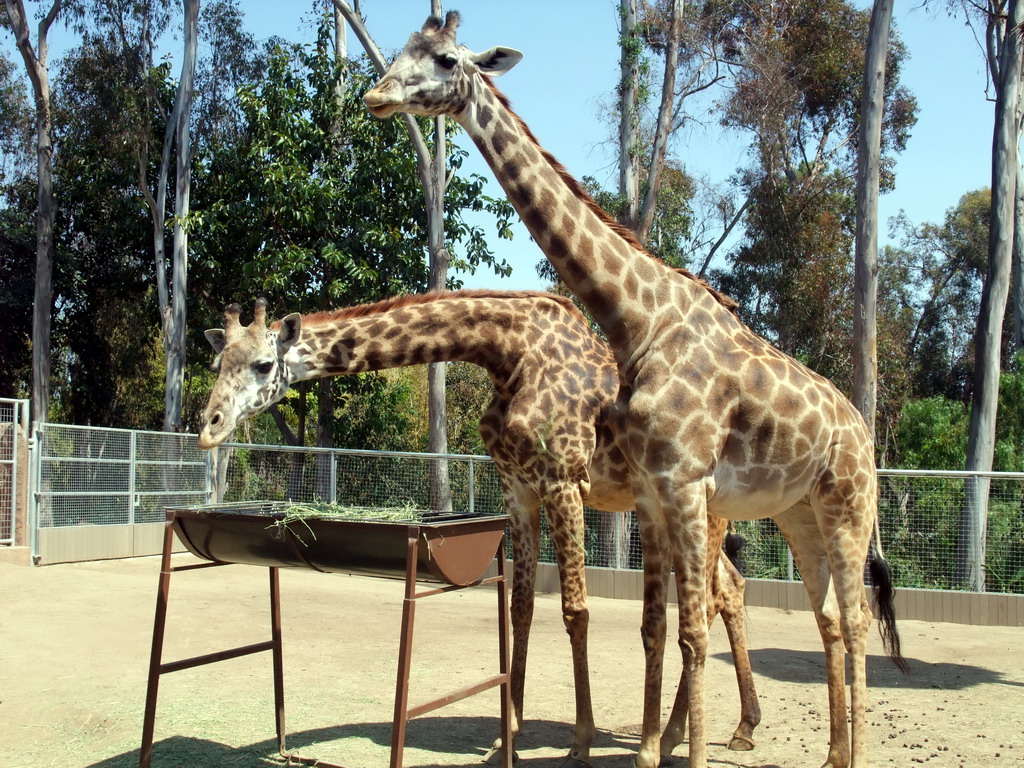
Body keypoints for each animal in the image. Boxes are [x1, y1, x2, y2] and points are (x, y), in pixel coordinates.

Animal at [197, 290, 761, 765]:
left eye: (263, 364)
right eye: (215, 363)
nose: (208, 427)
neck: (507, 353)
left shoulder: (563, 482)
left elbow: (575, 610)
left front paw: (581, 739)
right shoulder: (518, 487)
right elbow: (521, 605)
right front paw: (505, 732)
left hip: (698, 506)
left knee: (710, 599)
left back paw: (674, 736)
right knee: (730, 587)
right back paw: (739, 729)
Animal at [366, 15, 905, 768]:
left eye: (443, 59)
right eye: (399, 52)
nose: (374, 96)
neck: (637, 322)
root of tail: (861, 429)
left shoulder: (669, 483)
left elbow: (678, 628)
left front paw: (633, 746)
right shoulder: (644, 493)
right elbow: (649, 625)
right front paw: (643, 750)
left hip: (845, 507)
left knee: (848, 621)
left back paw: (815, 747)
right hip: (799, 515)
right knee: (826, 617)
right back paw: (826, 754)